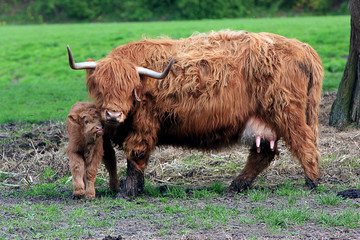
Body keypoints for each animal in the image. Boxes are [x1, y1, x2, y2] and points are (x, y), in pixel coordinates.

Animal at [67, 30, 324, 196]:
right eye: (101, 87)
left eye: (129, 88)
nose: (112, 115)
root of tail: (302, 47)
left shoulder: (143, 126)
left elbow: (136, 156)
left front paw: (129, 192)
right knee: (262, 154)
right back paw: (235, 186)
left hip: (287, 112)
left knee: (305, 143)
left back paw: (312, 182)